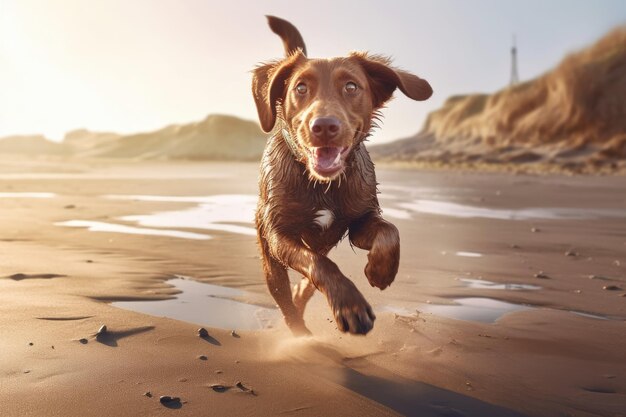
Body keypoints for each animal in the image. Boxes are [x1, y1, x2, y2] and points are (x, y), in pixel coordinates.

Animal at [249, 15, 428, 334]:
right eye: (300, 88)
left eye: (351, 86)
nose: (323, 126)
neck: (323, 186)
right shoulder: (279, 233)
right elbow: (318, 264)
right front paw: (350, 306)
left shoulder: (359, 221)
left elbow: (390, 232)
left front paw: (380, 271)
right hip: (269, 257)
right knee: (285, 296)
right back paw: (302, 336)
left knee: (305, 286)